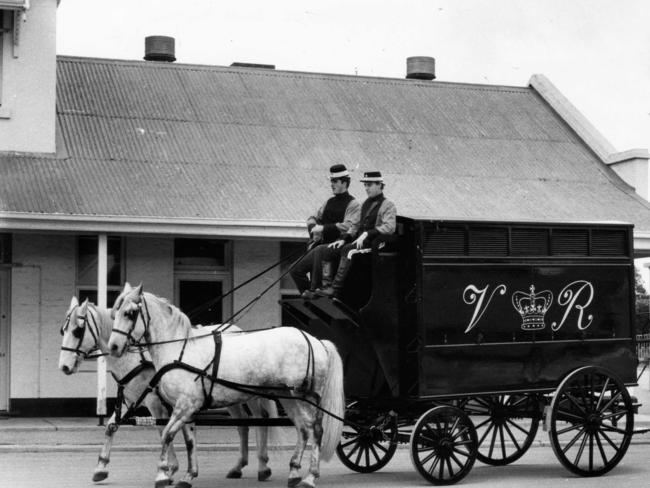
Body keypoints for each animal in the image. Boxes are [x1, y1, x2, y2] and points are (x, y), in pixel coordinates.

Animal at [57, 296, 276, 482]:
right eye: (62, 330)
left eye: (77, 331)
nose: (64, 367)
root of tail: (240, 330)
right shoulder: (131, 400)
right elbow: (111, 426)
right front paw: (101, 467)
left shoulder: (155, 401)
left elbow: (162, 429)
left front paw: (168, 469)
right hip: (229, 396)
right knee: (243, 424)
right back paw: (239, 466)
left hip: (249, 393)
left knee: (260, 420)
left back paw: (263, 466)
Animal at [107, 284, 344, 488]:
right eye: (114, 313)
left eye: (130, 313)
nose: (114, 347)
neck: (180, 349)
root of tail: (315, 341)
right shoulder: (184, 410)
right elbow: (189, 441)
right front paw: (188, 475)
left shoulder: (185, 406)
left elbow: (166, 434)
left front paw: (162, 475)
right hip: (289, 396)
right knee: (303, 428)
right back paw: (294, 472)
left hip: (307, 397)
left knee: (316, 430)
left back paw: (310, 476)